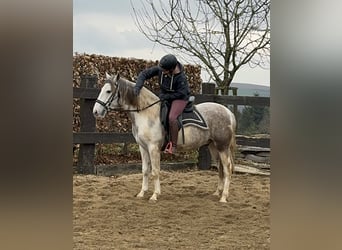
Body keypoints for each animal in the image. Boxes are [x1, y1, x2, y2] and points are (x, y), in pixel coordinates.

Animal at [93, 73, 238, 202]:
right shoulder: (143, 147)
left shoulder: (153, 148)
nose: (96, 111)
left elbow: (155, 171)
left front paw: (154, 195)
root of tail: (228, 112)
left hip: (222, 147)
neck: (146, 113)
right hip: (213, 146)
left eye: (108, 91)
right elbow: (145, 170)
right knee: (220, 167)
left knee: (227, 168)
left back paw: (224, 197)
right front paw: (142, 193)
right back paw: (217, 193)